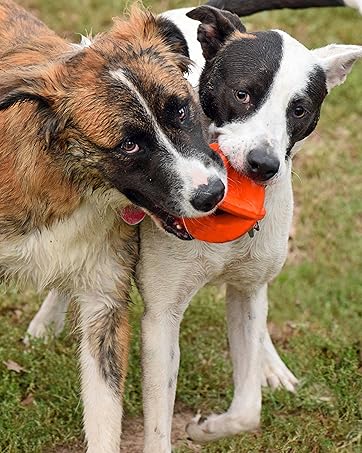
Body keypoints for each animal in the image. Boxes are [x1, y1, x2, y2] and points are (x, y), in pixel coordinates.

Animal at [0, 1, 226, 450]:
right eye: (129, 144)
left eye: (179, 109)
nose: (212, 194)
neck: (72, 182)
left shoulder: (104, 304)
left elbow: (105, 415)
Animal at [26, 1, 362, 450]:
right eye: (242, 93)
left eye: (299, 109)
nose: (263, 164)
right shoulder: (161, 318)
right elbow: (157, 422)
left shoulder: (245, 291)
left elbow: (247, 408)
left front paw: (208, 428)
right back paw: (47, 321)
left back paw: (271, 364)